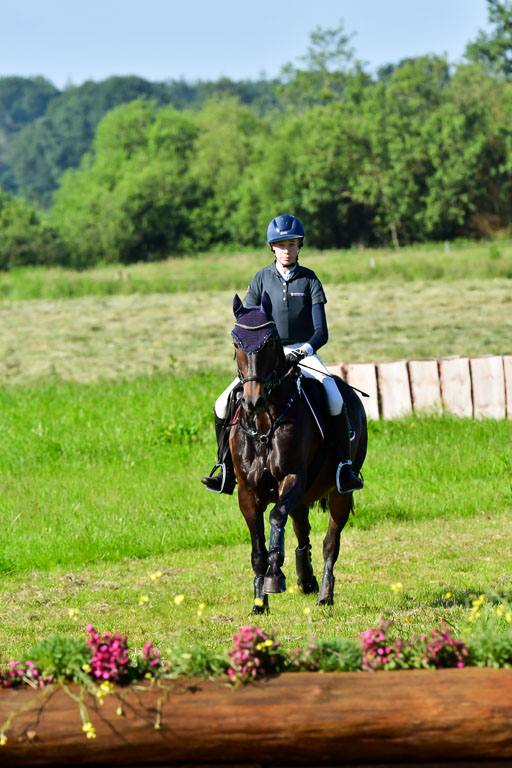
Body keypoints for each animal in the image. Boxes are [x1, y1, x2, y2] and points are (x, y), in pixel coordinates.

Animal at [229, 292, 368, 616]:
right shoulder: (246, 491)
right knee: (302, 531)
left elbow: (276, 518)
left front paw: (274, 577)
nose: (252, 401)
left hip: (339, 493)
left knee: (330, 542)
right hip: (304, 496)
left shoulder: (291, 478)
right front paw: (259, 602)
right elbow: (258, 548)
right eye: (236, 342)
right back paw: (306, 580)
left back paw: (325, 594)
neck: (265, 423)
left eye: (269, 341)